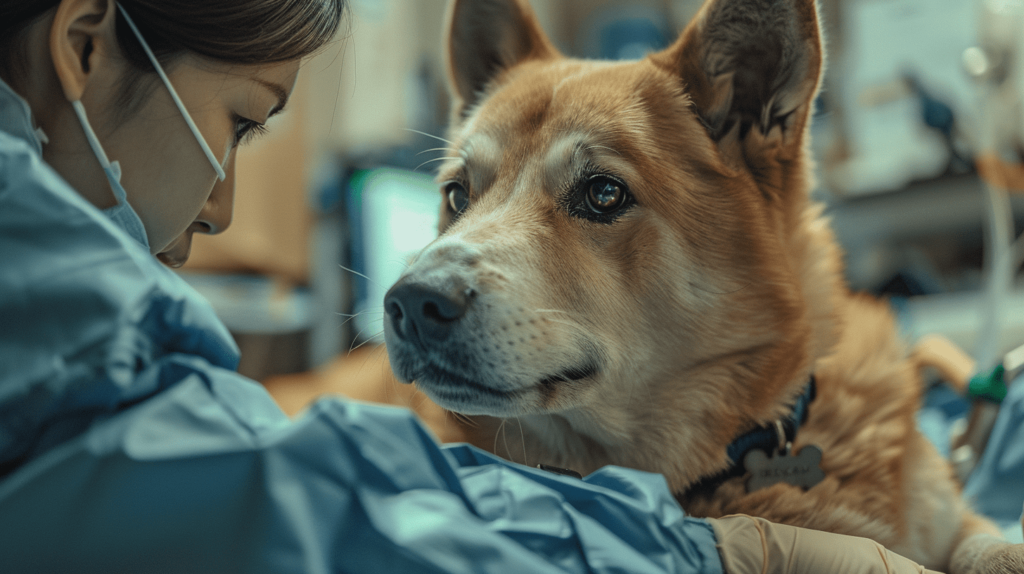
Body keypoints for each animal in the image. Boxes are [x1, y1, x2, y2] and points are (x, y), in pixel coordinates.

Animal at [382, 0, 1024, 568]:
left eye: (603, 193)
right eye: (457, 196)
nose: (411, 303)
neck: (750, 447)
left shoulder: (959, 520)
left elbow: (990, 546)